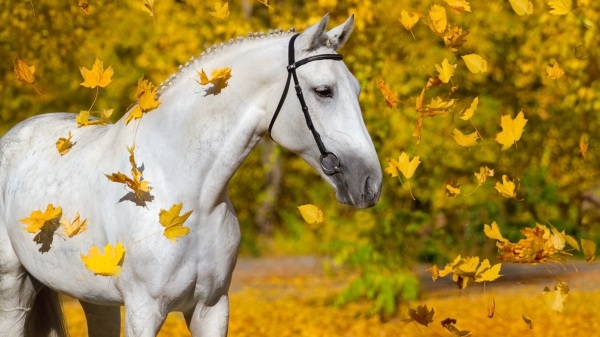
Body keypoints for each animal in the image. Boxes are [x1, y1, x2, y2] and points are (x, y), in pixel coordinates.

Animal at [0, 14, 382, 334]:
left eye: (358, 90)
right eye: (323, 91)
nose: (370, 183)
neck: (188, 193)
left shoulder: (212, 309)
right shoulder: (144, 311)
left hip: (95, 299)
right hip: (12, 293)